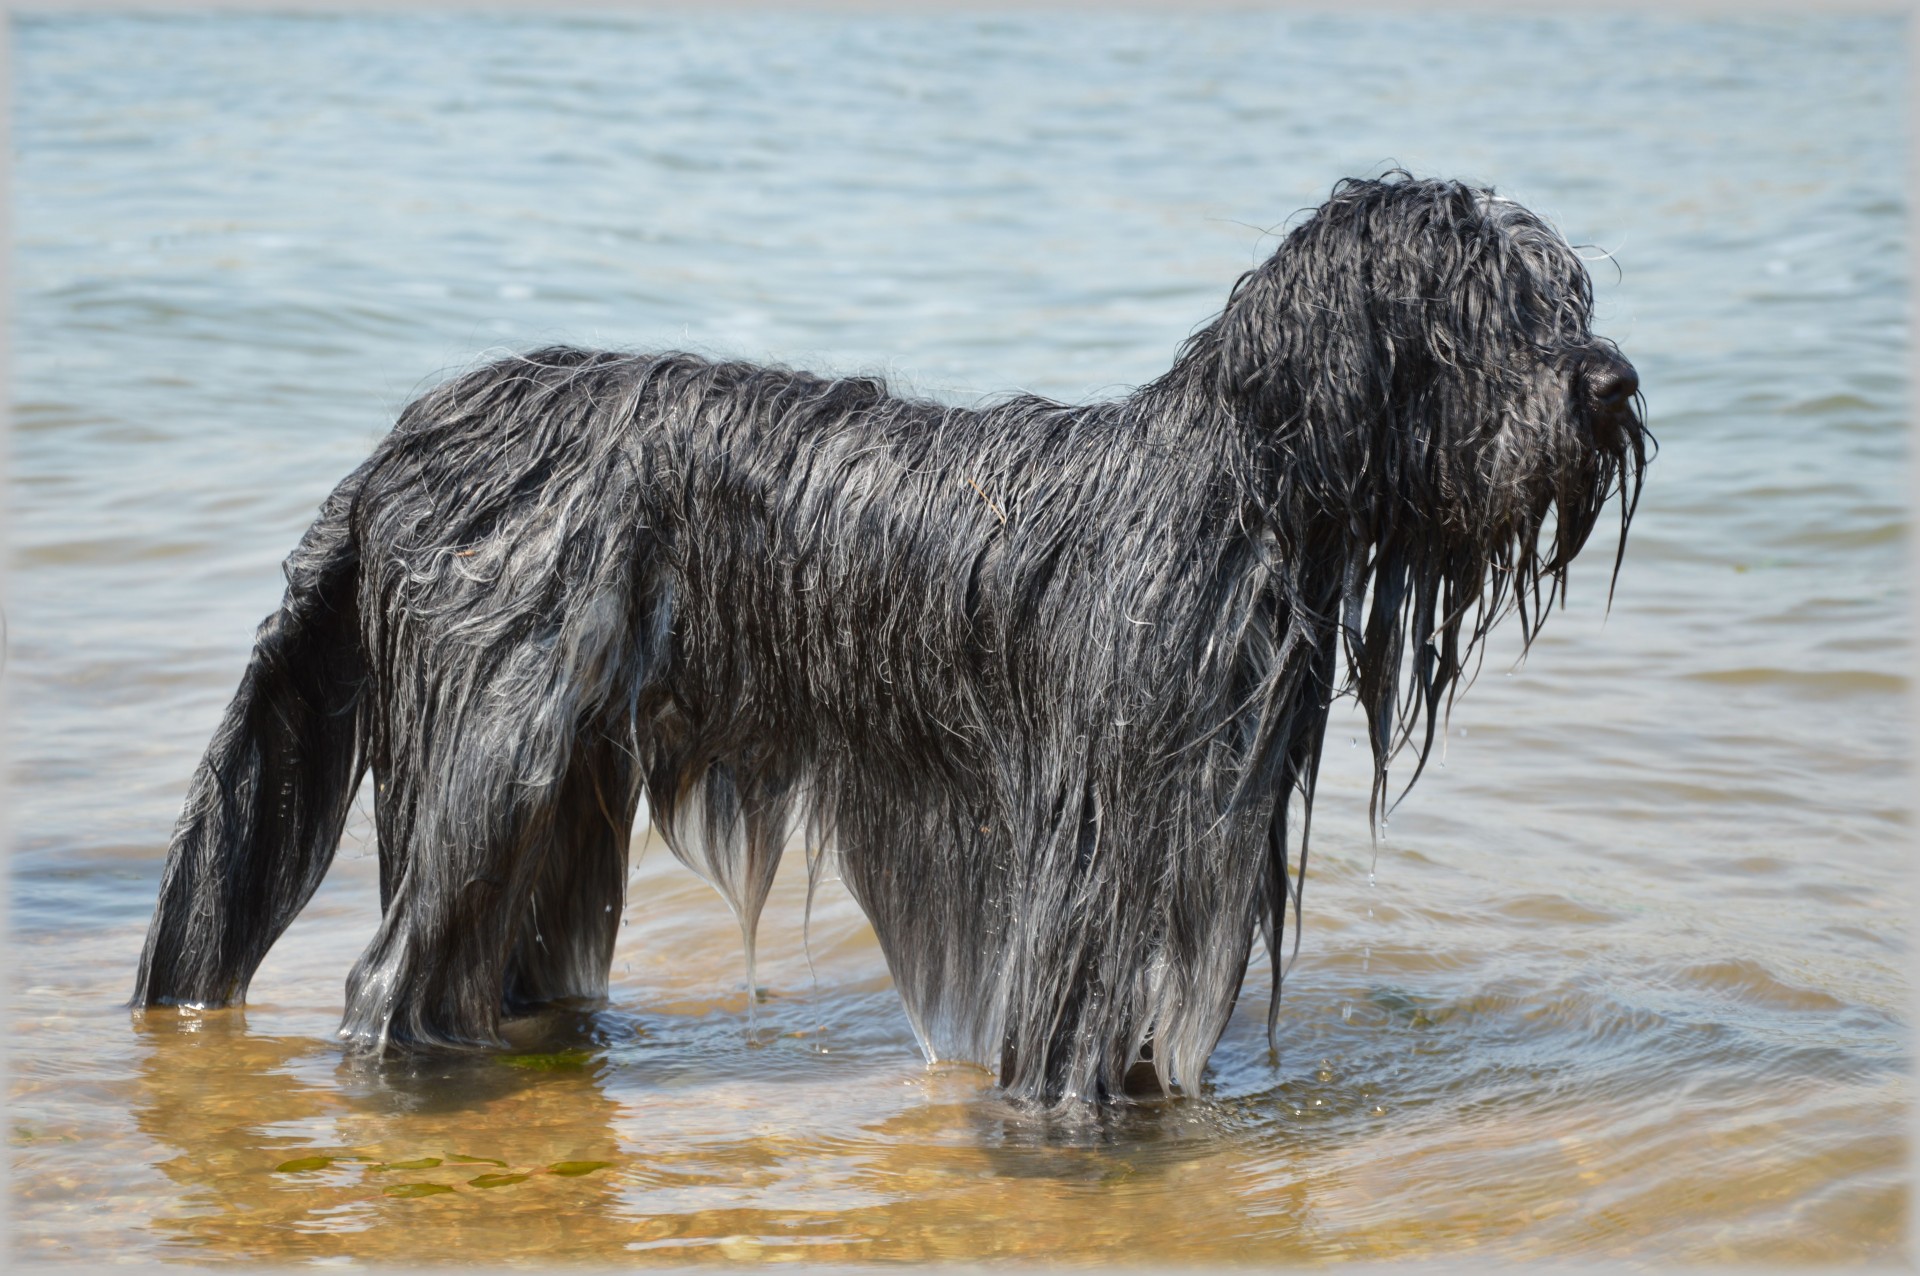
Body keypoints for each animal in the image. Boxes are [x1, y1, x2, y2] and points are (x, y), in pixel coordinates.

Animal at [135, 174, 1643, 1112]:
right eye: (1487, 306)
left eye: (1568, 297)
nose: (1615, 382)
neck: (1238, 481)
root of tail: (399, 442)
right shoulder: (1093, 862)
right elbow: (1069, 1053)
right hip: (488, 758)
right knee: (387, 977)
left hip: (557, 807)